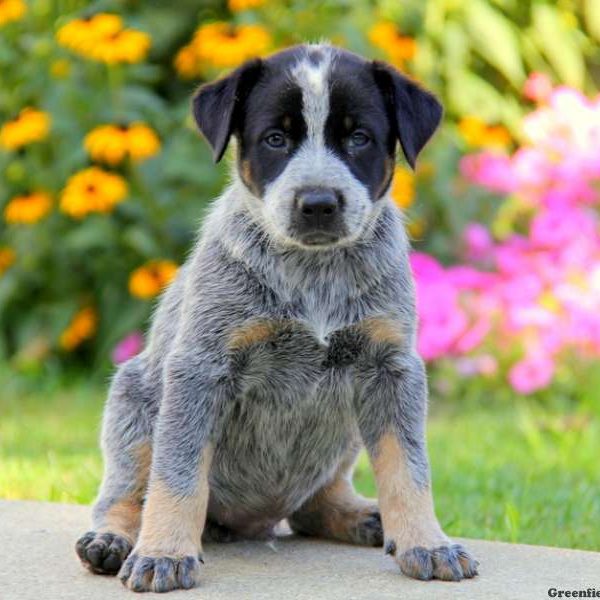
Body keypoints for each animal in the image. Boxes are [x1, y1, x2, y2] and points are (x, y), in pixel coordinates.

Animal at [75, 43, 478, 596]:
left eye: (359, 138)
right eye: (275, 139)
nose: (318, 203)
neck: (314, 274)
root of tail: (251, 522)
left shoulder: (392, 368)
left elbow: (408, 468)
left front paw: (427, 543)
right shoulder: (200, 368)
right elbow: (178, 474)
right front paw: (164, 553)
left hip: (347, 432)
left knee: (313, 505)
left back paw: (363, 515)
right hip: (133, 397)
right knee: (125, 490)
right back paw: (113, 540)